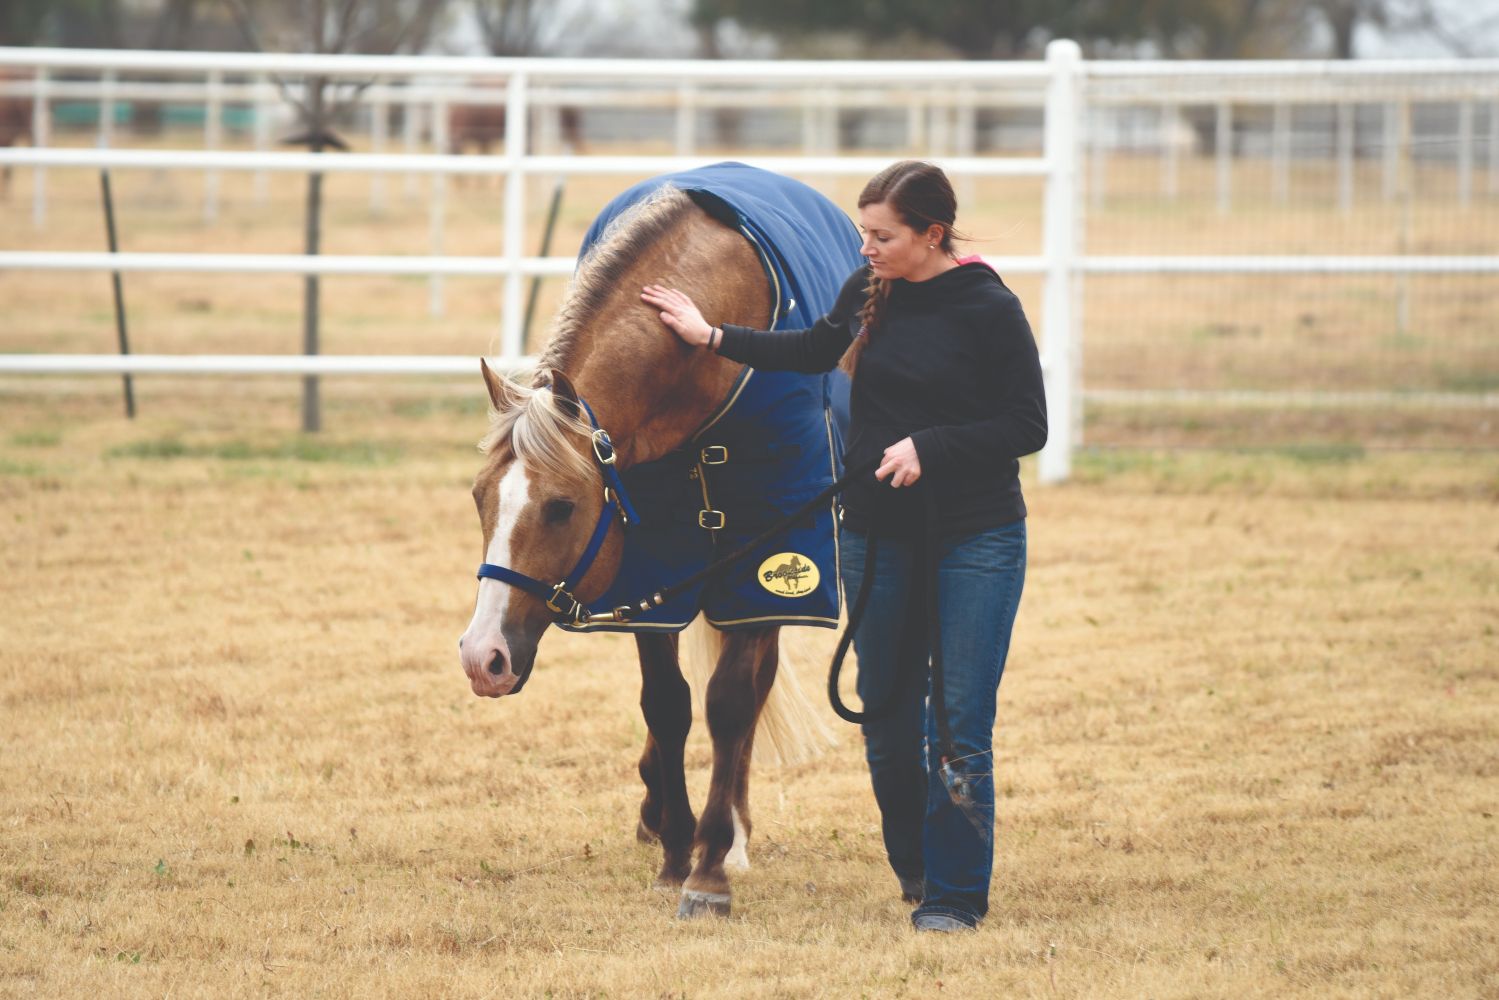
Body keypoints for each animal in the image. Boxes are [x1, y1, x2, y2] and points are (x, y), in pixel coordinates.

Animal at [455, 167, 857, 917]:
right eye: (479, 498)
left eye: (561, 508)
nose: (482, 656)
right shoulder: (650, 568)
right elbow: (666, 705)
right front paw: (675, 850)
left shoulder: (769, 554)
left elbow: (729, 704)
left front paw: (709, 869)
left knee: (753, 686)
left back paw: (732, 833)